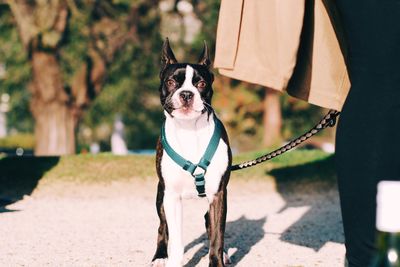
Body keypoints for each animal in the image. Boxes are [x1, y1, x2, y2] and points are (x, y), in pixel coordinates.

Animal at [151, 38, 231, 266]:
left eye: (201, 84)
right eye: (171, 82)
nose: (186, 94)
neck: (189, 130)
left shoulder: (218, 195)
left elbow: (217, 237)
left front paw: (217, 261)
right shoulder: (171, 197)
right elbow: (176, 239)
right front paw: (172, 260)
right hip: (160, 197)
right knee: (162, 227)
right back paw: (160, 256)